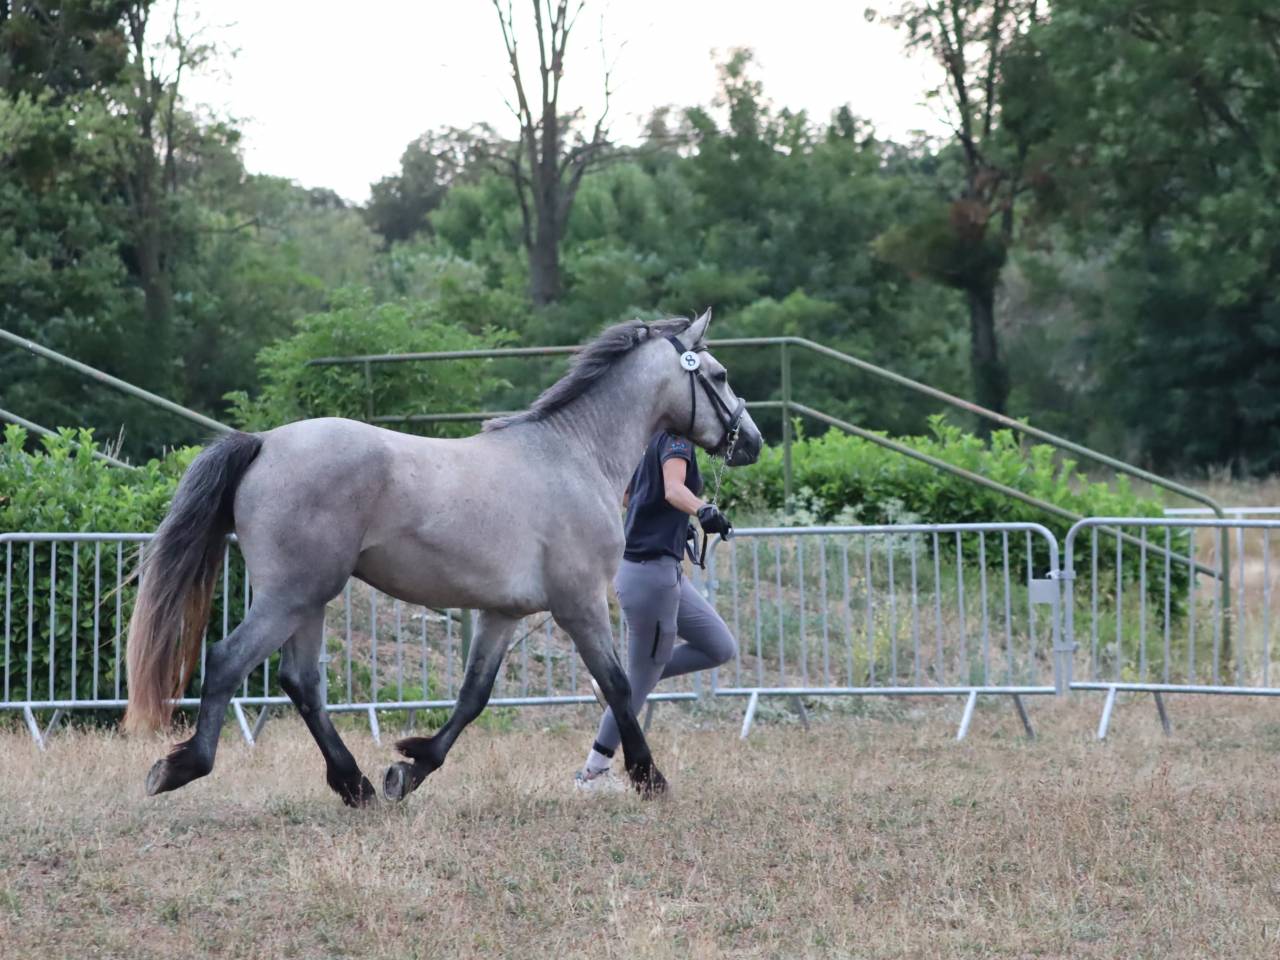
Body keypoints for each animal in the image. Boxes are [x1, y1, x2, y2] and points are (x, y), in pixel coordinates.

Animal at [124, 309, 763, 805]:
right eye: (721, 374)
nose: (752, 442)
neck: (573, 456)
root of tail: (263, 444)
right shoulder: (579, 605)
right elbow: (618, 685)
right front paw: (650, 778)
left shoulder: (502, 614)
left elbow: (473, 697)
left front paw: (409, 768)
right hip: (292, 595)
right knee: (228, 661)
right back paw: (181, 767)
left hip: (307, 599)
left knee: (300, 681)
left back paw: (355, 785)